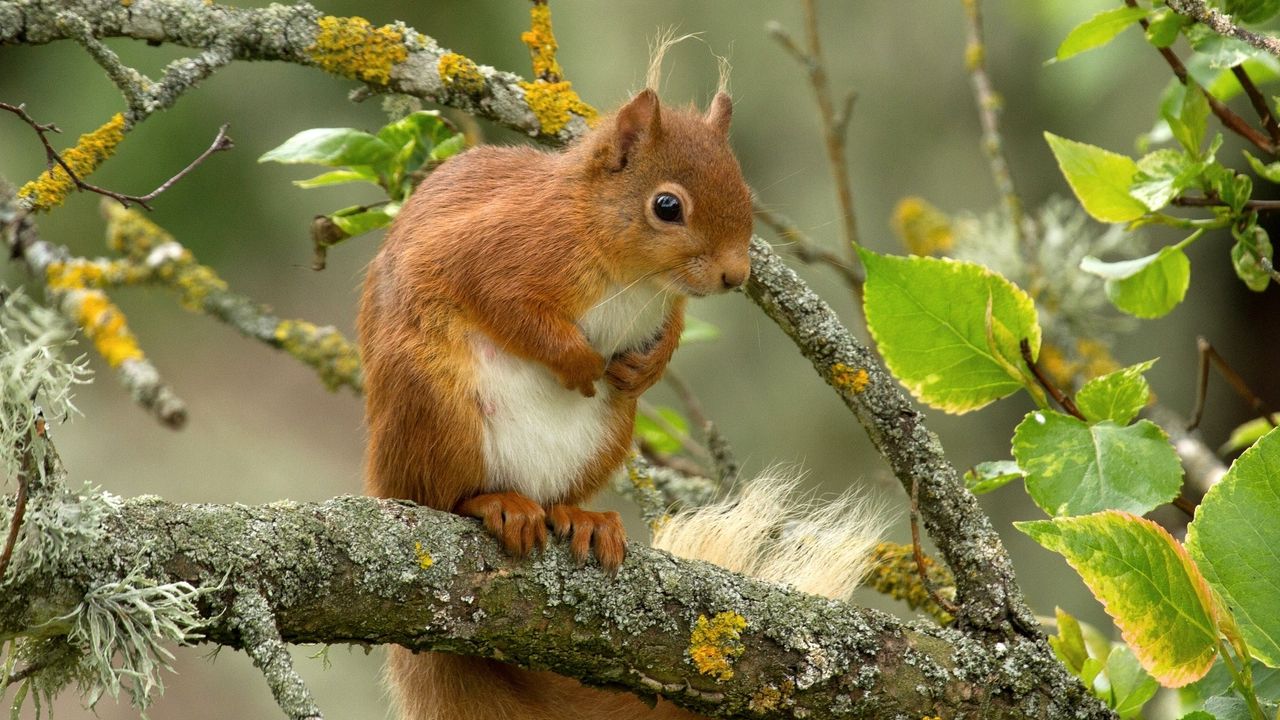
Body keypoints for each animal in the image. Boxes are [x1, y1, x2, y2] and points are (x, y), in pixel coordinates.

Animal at [358, 89, 747, 717]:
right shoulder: (499, 251)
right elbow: (513, 309)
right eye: (667, 206)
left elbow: (670, 331)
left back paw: (580, 518)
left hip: (605, 438)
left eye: (744, 188)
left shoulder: (667, 306)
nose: (738, 274)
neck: (635, 276)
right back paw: (493, 503)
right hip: (435, 407)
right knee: (439, 496)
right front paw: (581, 363)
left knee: (557, 497)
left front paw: (646, 366)